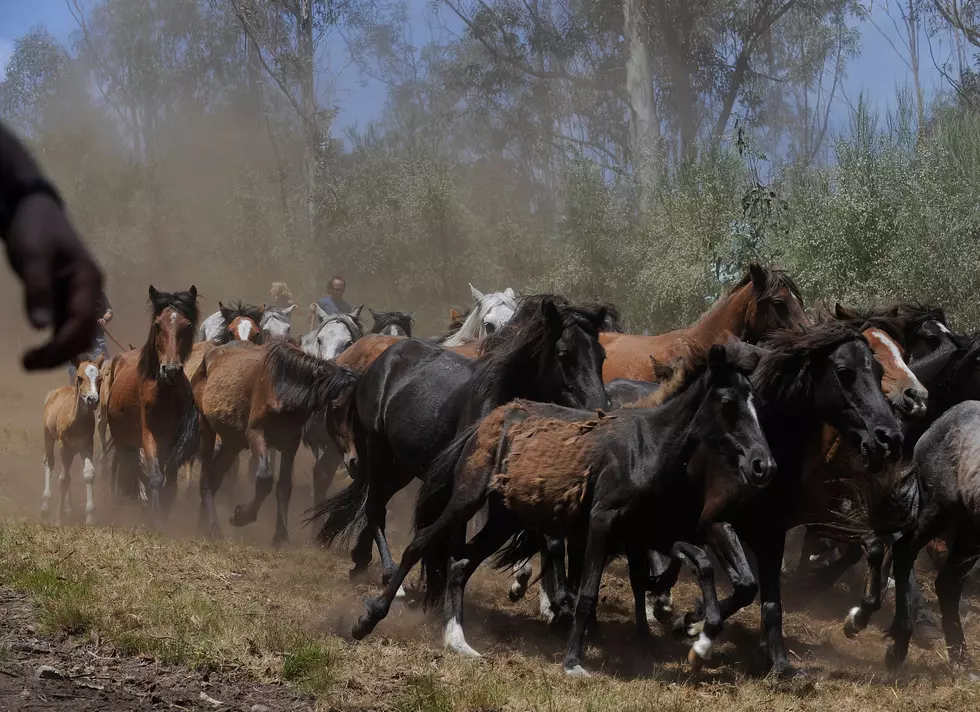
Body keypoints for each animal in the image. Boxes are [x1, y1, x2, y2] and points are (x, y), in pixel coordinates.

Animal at [41, 354, 105, 524]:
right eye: (80, 377)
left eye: (100, 378)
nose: (92, 399)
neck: (75, 421)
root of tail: (53, 393)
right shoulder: (64, 446)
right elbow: (63, 479)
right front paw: (58, 519)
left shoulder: (86, 446)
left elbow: (88, 474)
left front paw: (89, 519)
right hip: (49, 437)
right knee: (49, 461)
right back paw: (45, 504)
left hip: (72, 451)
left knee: (67, 471)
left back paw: (68, 507)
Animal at [104, 286, 200, 524]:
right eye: (158, 325)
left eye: (187, 326)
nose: (171, 370)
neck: (164, 392)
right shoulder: (149, 435)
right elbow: (155, 476)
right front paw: (155, 516)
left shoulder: (174, 441)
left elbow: (171, 480)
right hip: (124, 440)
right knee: (130, 467)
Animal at [310, 294, 608, 588]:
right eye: (563, 354)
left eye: (602, 355)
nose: (599, 409)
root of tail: (379, 362)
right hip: (378, 451)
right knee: (373, 507)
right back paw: (388, 574)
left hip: (403, 466)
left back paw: (362, 561)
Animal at [348, 342, 776, 676]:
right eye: (728, 403)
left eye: (756, 401)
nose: (764, 465)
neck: (647, 448)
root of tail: (488, 422)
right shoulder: (602, 525)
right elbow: (586, 593)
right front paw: (573, 662)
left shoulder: (645, 533)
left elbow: (700, 565)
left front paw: (697, 640)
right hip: (466, 498)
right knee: (419, 542)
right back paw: (367, 619)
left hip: (503, 520)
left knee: (459, 564)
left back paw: (459, 642)